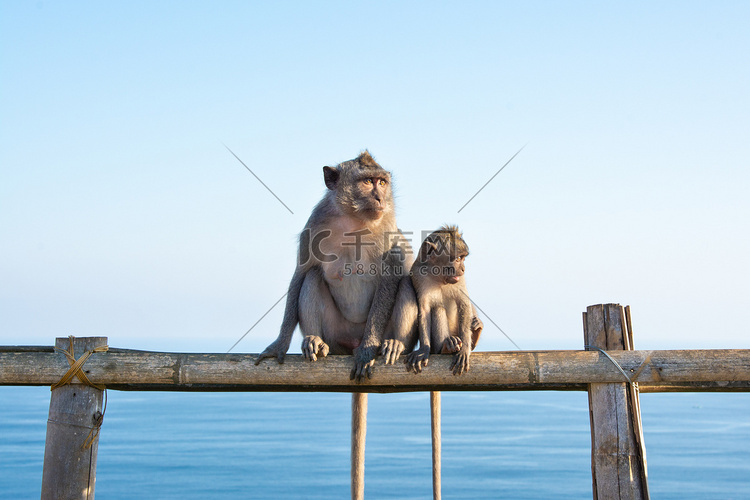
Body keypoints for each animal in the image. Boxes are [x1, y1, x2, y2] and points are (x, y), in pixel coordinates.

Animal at [258, 150, 412, 500]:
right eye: (367, 182)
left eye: (382, 181)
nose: (380, 196)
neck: (354, 219)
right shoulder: (314, 224)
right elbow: (302, 272)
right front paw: (280, 342)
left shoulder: (388, 226)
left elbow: (392, 272)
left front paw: (369, 350)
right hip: (338, 334)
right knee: (314, 277)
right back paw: (314, 341)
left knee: (404, 277)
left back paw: (388, 344)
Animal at [382, 226, 482, 376]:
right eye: (458, 258)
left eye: (463, 258)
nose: (463, 269)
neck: (439, 276)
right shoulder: (418, 275)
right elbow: (425, 309)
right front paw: (424, 349)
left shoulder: (459, 280)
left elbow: (464, 303)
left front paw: (464, 349)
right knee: (438, 309)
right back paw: (446, 346)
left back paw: (474, 334)